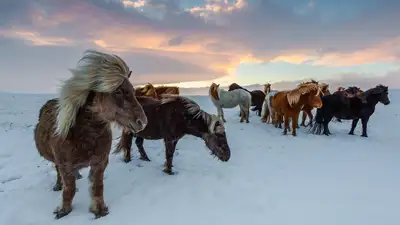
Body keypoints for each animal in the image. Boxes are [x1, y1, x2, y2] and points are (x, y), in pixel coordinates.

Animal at [33, 50, 148, 219]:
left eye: (133, 91)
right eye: (118, 91)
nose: (143, 122)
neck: (84, 137)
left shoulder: (100, 163)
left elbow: (97, 187)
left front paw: (99, 210)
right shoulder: (65, 166)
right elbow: (69, 189)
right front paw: (63, 210)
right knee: (58, 173)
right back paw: (58, 185)